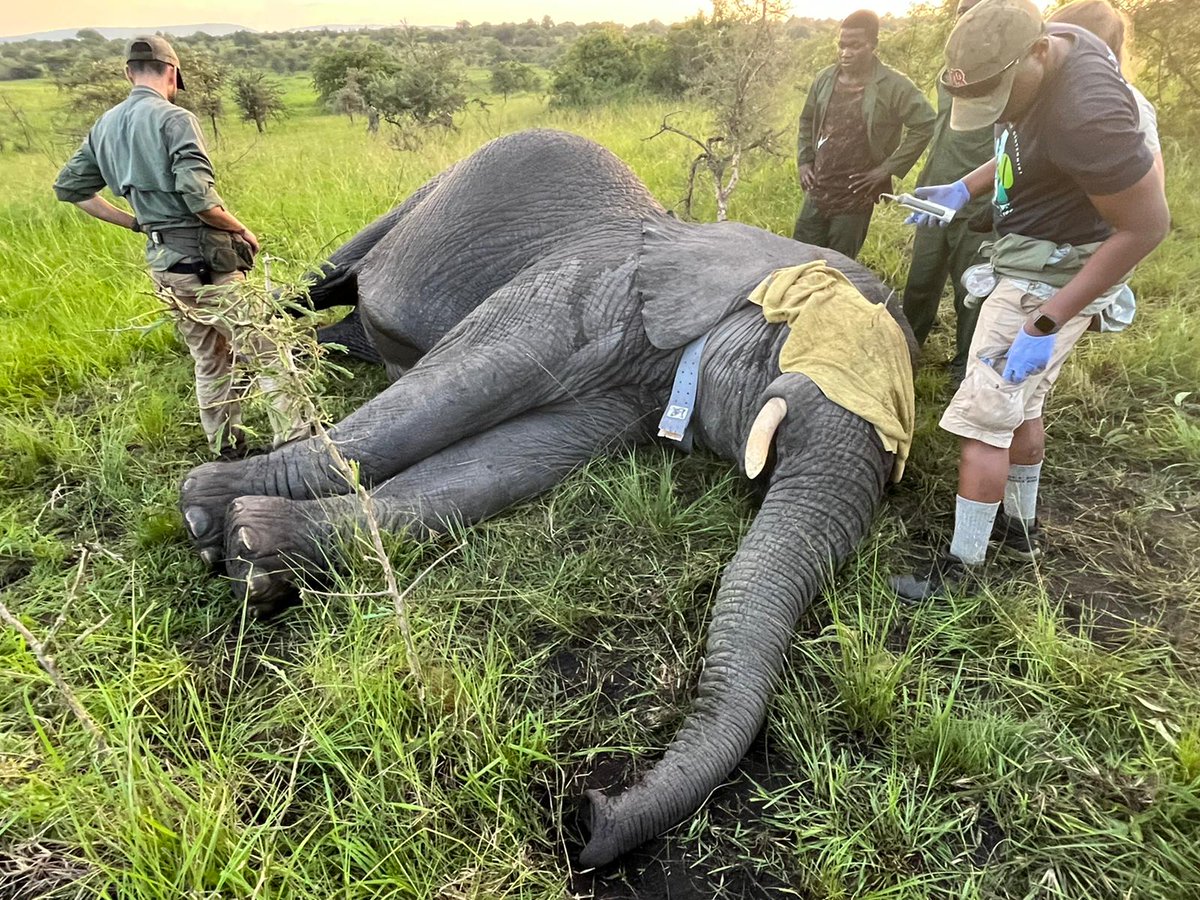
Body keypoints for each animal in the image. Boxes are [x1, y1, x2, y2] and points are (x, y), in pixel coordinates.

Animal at [178, 129, 916, 868]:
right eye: (789, 349)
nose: (591, 812)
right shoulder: (583, 283)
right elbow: (450, 393)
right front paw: (204, 511)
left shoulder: (631, 385)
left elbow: (503, 463)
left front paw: (254, 555)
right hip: (414, 202)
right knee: (319, 283)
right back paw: (262, 342)